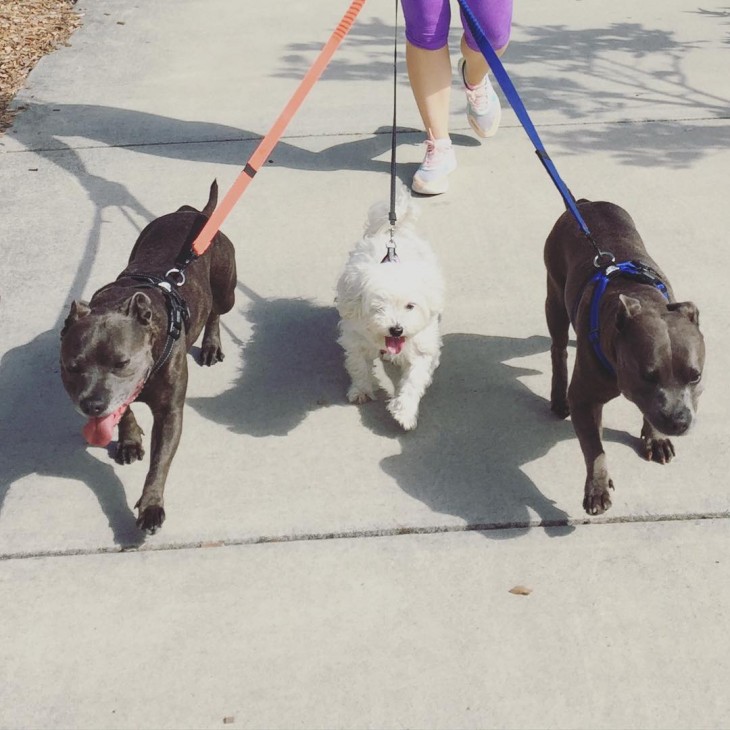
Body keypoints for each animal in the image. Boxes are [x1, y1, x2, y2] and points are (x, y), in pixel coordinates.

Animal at [60, 178, 236, 528]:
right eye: (72, 366)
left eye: (122, 363)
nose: (93, 404)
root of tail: (195, 213)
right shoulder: (121, 398)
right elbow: (124, 410)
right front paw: (129, 441)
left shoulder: (169, 413)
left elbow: (160, 462)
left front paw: (151, 505)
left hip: (227, 289)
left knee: (215, 311)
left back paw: (211, 344)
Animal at [336, 182, 444, 430]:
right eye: (379, 307)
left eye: (410, 306)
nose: (396, 329)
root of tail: (396, 231)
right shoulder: (355, 337)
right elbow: (358, 364)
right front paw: (361, 389)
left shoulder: (421, 347)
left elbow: (414, 379)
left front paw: (404, 412)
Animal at [544, 200, 704, 512]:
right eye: (647, 375)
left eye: (696, 376)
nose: (679, 421)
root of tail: (584, 203)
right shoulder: (584, 400)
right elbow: (595, 449)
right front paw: (597, 487)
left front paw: (656, 439)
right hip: (554, 297)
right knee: (558, 349)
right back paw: (557, 397)